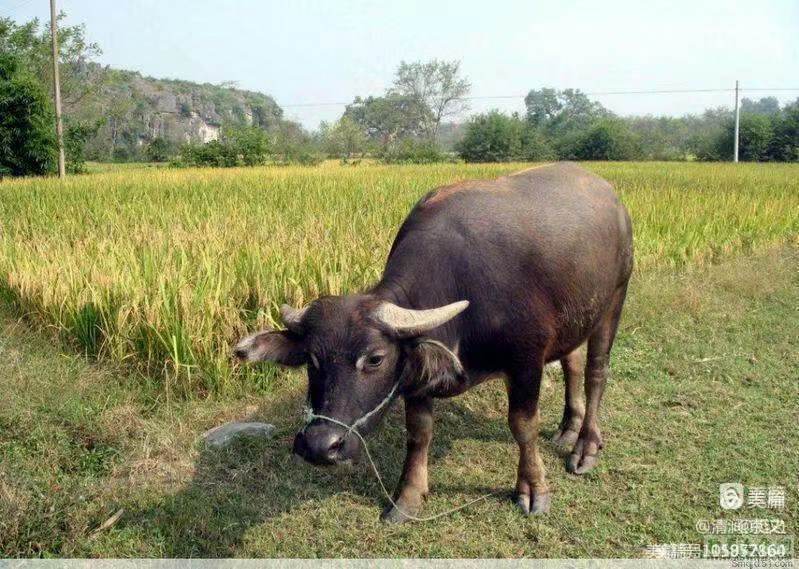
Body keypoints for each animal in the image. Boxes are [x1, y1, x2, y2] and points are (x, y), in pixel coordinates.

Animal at [234, 162, 633, 523]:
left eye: (375, 358)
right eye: (312, 360)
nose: (320, 445)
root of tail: (611, 195)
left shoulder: (526, 361)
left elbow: (523, 425)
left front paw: (532, 488)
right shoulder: (415, 376)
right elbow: (418, 432)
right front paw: (408, 497)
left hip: (615, 298)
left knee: (596, 372)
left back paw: (586, 445)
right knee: (573, 362)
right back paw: (567, 429)